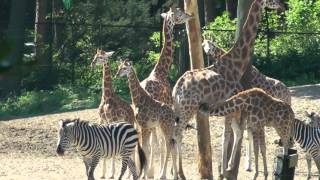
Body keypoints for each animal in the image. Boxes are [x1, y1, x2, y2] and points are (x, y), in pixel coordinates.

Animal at [91, 48, 135, 179]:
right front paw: (103, 173)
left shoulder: (112, 120)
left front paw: (111, 173)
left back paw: (129, 174)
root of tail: (132, 113)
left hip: (129, 123)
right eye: (95, 56)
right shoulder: (102, 120)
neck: (106, 96)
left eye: (101, 57)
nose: (92, 63)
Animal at [139, 7, 190, 179]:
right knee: (159, 142)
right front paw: (163, 172)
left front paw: (155, 171)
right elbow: (162, 143)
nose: (190, 15)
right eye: (180, 13)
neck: (161, 70)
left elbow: (159, 143)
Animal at [204, 38, 292, 171]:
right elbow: (246, 134)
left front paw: (245, 165)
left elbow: (240, 134)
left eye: (211, 44)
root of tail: (288, 92)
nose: (208, 51)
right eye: (203, 44)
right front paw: (247, 165)